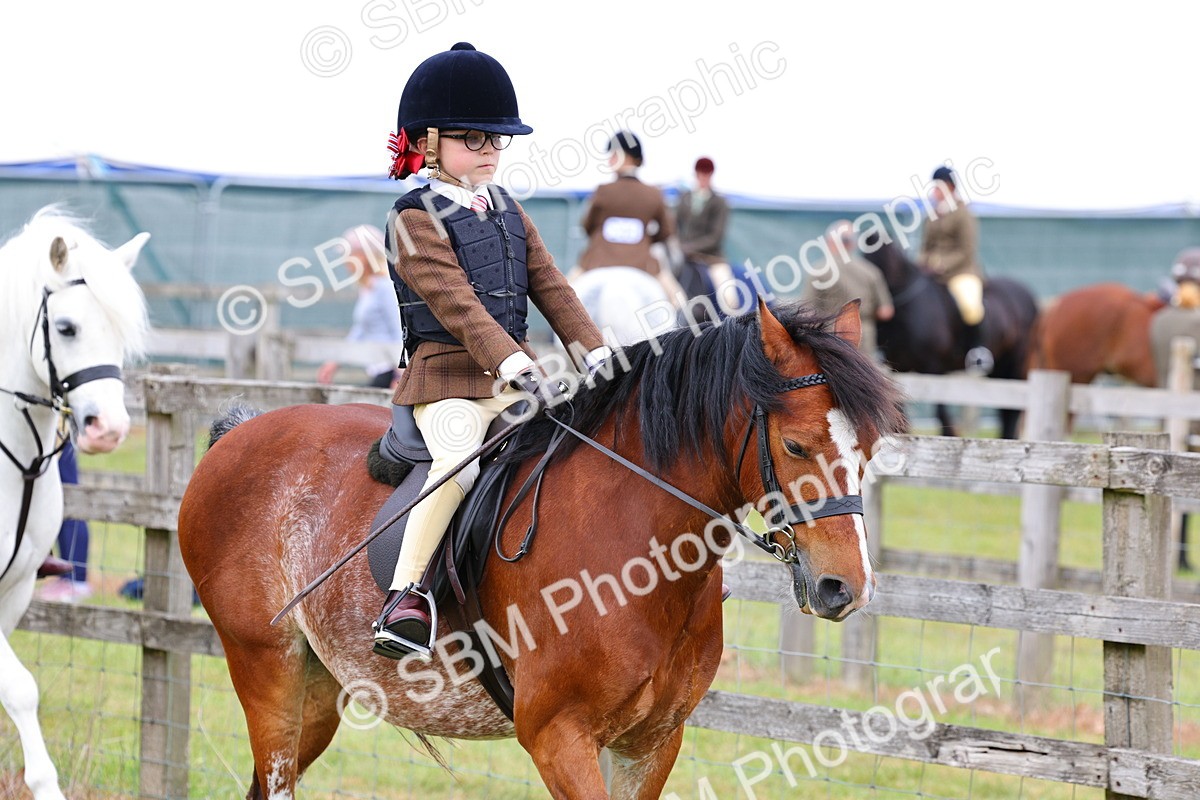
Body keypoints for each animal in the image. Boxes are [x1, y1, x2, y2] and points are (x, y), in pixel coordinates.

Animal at [177, 301, 905, 799]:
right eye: (796, 446)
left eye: (870, 448)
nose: (845, 588)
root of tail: (240, 432)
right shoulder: (558, 736)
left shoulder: (650, 743)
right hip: (266, 668)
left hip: (320, 689)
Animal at [860, 235, 1040, 440]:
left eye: (881, 262)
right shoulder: (900, 367)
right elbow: (900, 410)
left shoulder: (934, 368)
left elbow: (940, 412)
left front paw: (950, 436)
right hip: (999, 366)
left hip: (1016, 362)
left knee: (1012, 411)